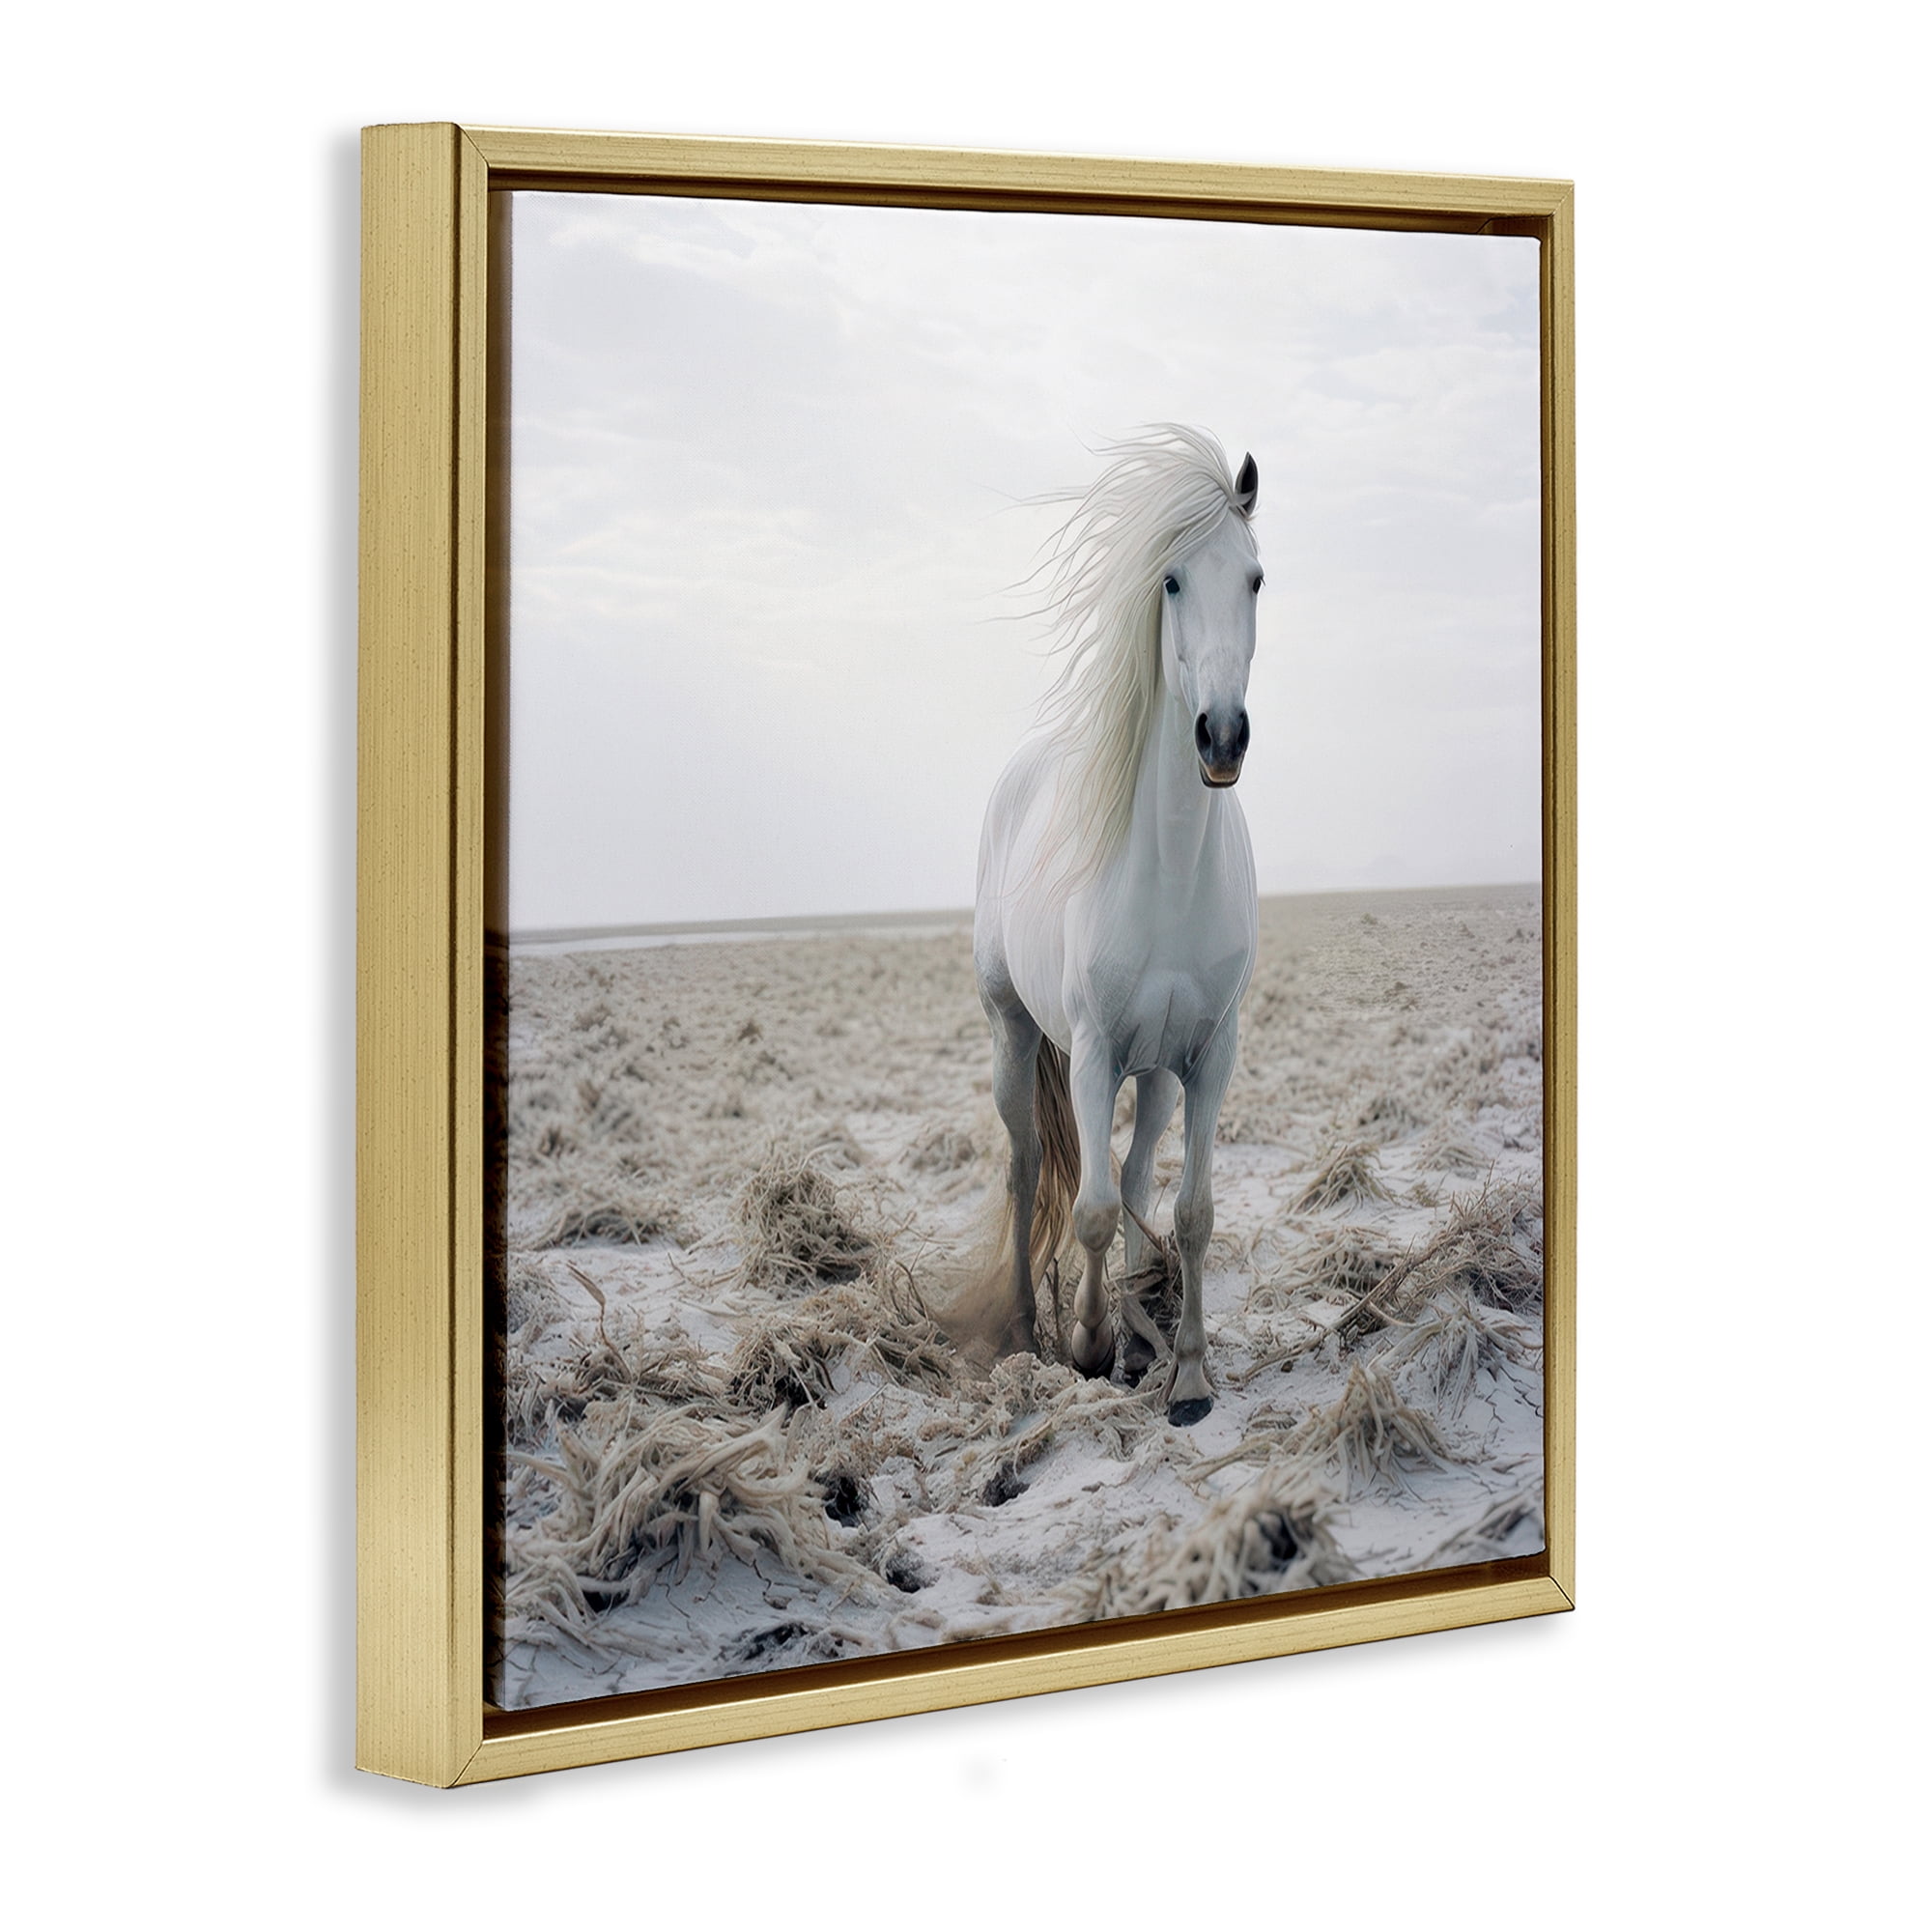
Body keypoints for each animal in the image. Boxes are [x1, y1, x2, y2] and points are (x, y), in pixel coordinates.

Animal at [973, 426, 1263, 1426]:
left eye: (1255, 579)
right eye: (1169, 581)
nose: (1223, 736)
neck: (1170, 870)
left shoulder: (1208, 1055)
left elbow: (1193, 1212)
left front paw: (1186, 1372)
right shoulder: (1094, 1050)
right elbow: (1091, 1209)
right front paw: (1091, 1343)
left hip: (1159, 1071)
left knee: (1135, 1179)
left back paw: (1140, 1331)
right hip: (1017, 1036)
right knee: (1030, 1173)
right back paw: (1030, 1330)